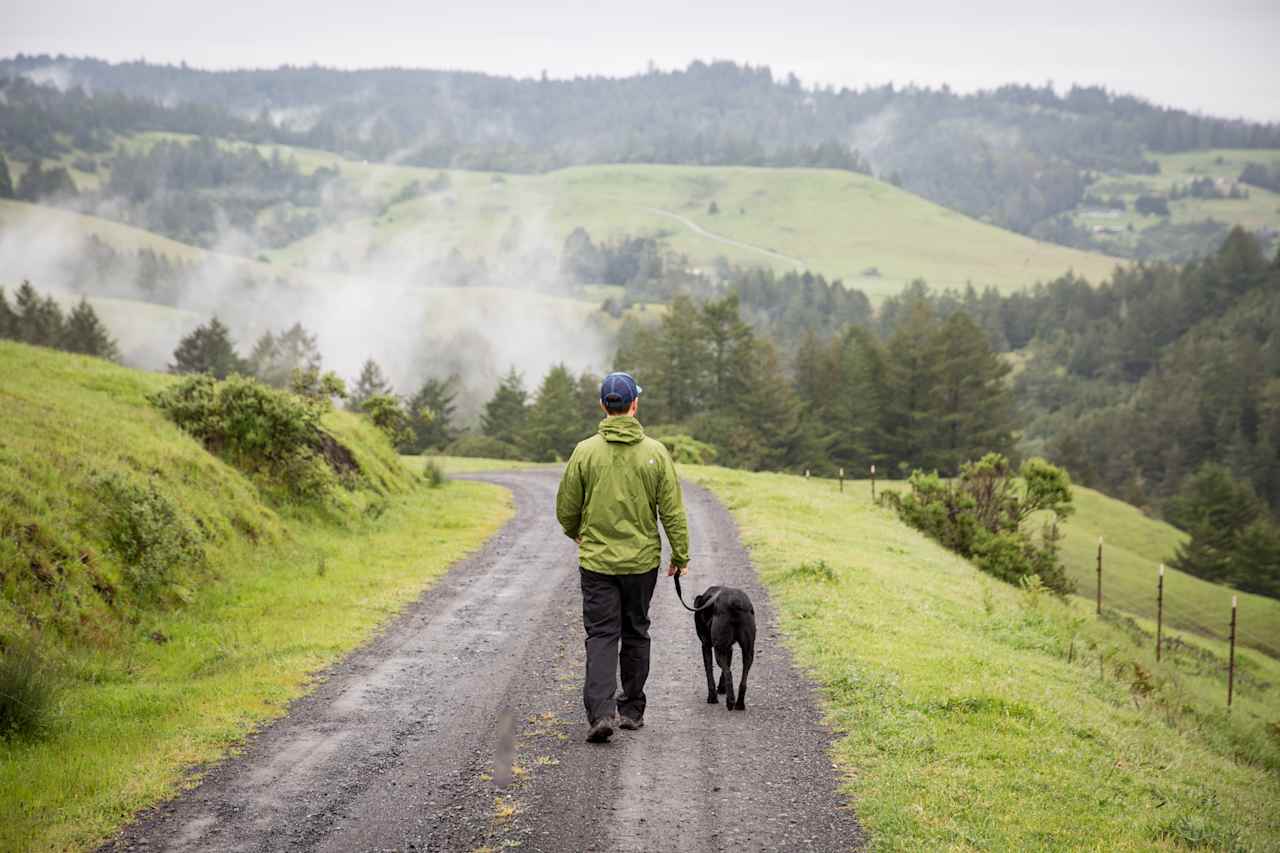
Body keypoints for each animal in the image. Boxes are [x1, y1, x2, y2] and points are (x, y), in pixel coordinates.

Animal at [696, 584, 752, 712]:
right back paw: (739, 704)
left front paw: (712, 698)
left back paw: (730, 701)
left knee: (729, 673)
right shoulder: (729, 648)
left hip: (718, 650)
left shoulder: (706, 646)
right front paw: (721, 689)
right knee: (743, 679)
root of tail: (736, 602)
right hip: (748, 650)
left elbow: (709, 672)